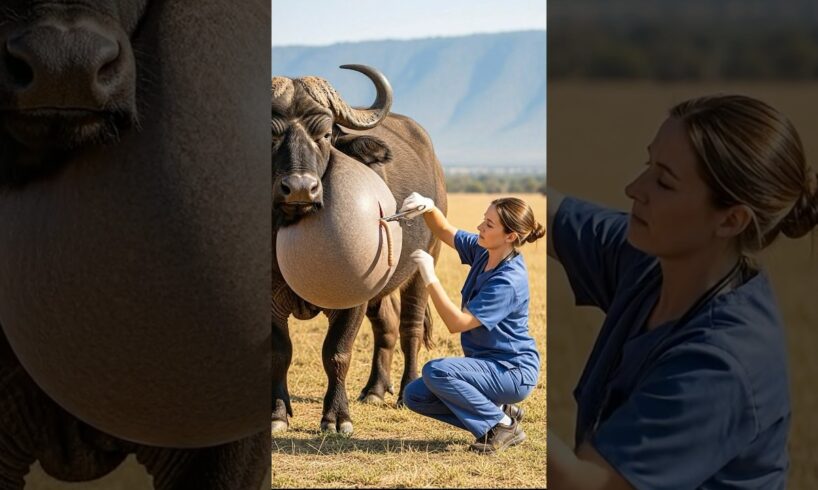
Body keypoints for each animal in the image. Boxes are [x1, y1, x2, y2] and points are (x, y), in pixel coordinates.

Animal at [272, 65, 448, 434]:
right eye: (270, 134)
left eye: (325, 134)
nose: (300, 188)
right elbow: (280, 353)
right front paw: (278, 414)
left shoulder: (352, 300)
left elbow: (337, 352)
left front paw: (337, 418)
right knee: (387, 325)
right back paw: (375, 390)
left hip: (424, 264)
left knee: (410, 327)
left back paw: (406, 391)